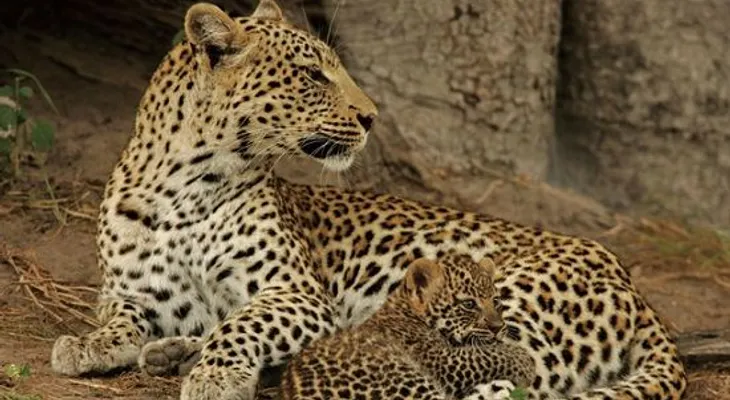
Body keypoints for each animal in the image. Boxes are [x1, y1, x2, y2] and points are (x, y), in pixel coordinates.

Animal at [278, 252, 535, 400]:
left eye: (496, 301)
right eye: (469, 304)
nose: (498, 326)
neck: (405, 311)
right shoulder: (443, 360)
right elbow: (486, 354)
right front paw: (525, 361)